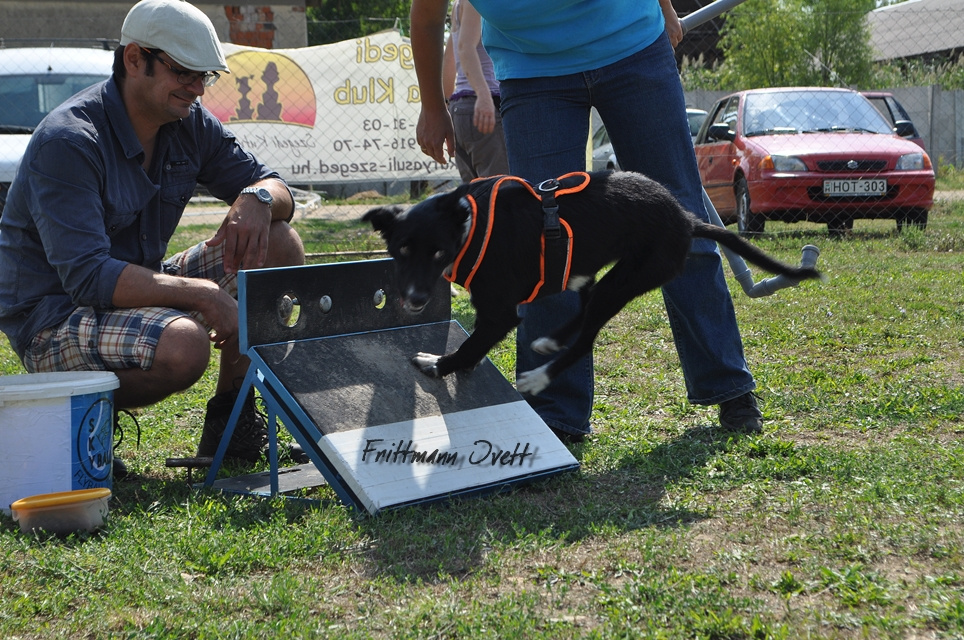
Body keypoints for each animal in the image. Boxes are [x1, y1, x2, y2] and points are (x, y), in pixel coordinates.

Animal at [362, 170, 820, 396]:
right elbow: (474, 346)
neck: (469, 224)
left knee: (586, 339)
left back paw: (539, 377)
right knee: (581, 312)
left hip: (626, 279)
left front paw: (438, 364)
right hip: (584, 270)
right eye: (401, 250)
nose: (415, 299)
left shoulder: (500, 314)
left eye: (438, 253)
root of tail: (687, 219)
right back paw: (551, 342)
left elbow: (470, 345)